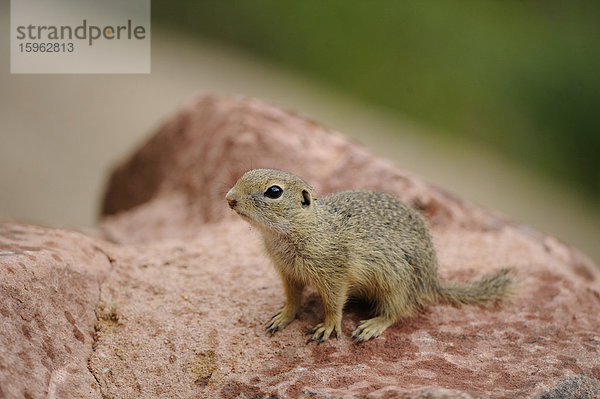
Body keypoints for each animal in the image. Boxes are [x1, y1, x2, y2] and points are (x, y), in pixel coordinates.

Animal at [225, 169, 510, 344]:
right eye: (244, 175)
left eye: (273, 192)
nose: (229, 199)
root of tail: (432, 281)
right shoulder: (288, 274)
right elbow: (292, 299)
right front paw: (283, 316)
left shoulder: (335, 275)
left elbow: (333, 304)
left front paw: (328, 326)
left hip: (396, 283)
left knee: (397, 311)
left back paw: (373, 325)